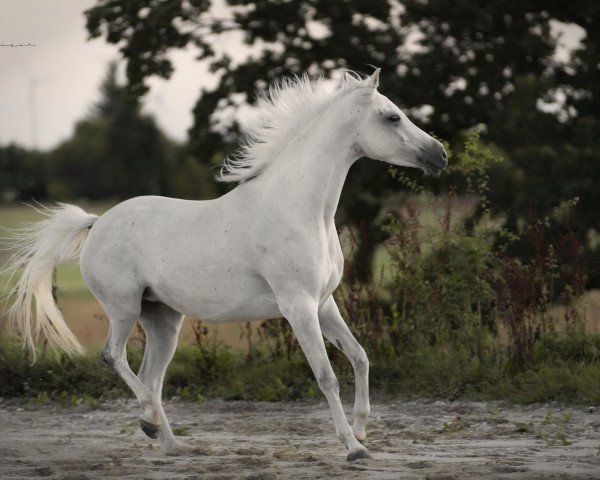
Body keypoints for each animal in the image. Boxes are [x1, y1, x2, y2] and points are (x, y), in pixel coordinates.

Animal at [3, 70, 446, 462]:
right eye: (392, 117)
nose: (440, 154)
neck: (301, 210)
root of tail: (96, 223)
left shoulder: (323, 303)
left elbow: (360, 357)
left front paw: (362, 431)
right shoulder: (298, 307)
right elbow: (326, 376)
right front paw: (353, 448)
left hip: (163, 319)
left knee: (151, 376)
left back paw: (168, 442)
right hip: (123, 308)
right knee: (115, 358)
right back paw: (150, 423)